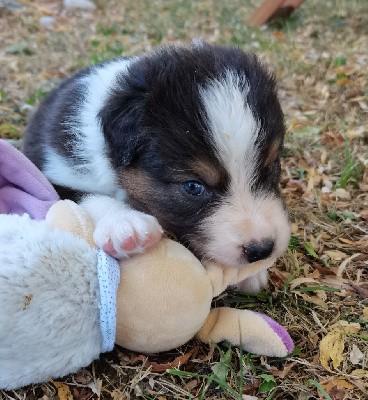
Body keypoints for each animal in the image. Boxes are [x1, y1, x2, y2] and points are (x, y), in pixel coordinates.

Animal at [23, 41, 290, 290]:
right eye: (193, 187)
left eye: (269, 167)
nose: (261, 249)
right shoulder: (53, 172)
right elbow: (85, 197)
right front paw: (125, 224)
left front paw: (251, 274)